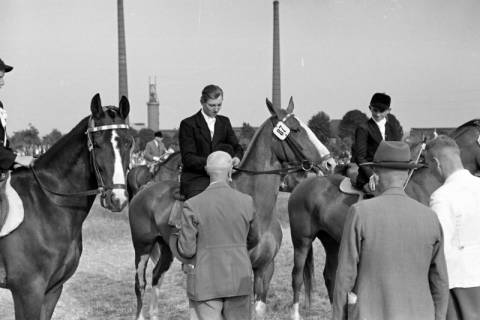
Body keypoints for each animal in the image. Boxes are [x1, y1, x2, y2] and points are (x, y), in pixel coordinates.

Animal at [0, 94, 132, 318]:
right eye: (96, 144)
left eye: (129, 143)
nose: (118, 198)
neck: (46, 204)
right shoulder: (28, 290)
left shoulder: (53, 289)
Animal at [128, 98, 338, 320]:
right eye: (296, 129)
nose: (330, 162)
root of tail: (145, 189)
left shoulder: (265, 268)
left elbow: (258, 308)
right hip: (142, 247)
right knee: (140, 284)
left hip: (166, 247)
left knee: (156, 277)